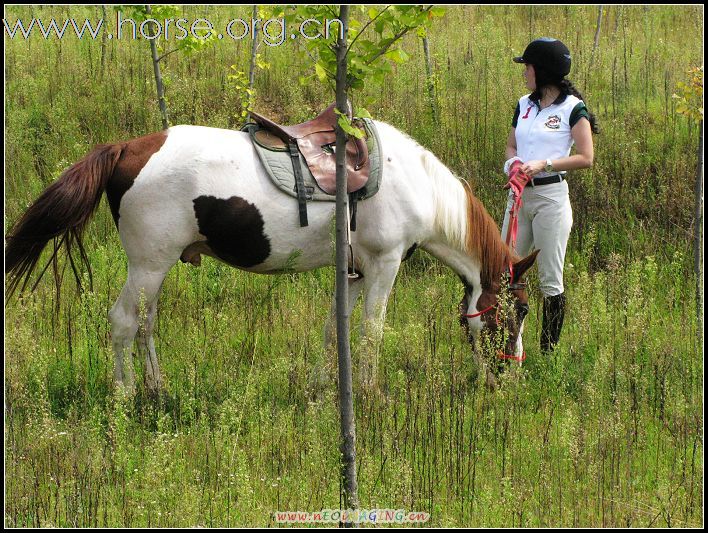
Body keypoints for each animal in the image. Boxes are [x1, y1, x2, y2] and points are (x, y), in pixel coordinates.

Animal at [4, 117, 536, 390]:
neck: (414, 183)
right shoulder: (383, 266)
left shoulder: (353, 272)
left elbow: (335, 330)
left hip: (154, 268)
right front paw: (368, 395)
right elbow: (370, 333)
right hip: (148, 265)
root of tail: (126, 148)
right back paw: (126, 395)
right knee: (123, 322)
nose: (509, 377)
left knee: (146, 323)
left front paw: (324, 389)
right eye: (519, 311)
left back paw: (158, 391)